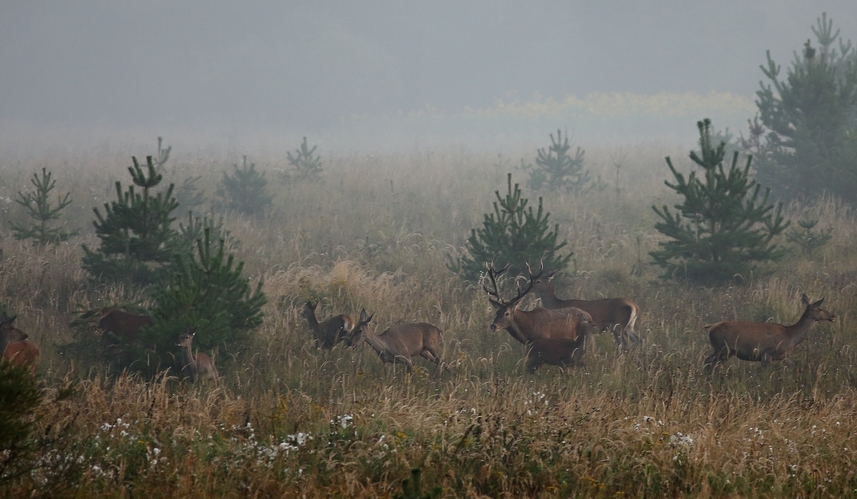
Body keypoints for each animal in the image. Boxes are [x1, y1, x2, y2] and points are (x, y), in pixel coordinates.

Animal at [704, 294, 836, 374]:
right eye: (820, 309)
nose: (833, 316)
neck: (790, 337)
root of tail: (711, 327)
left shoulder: (783, 356)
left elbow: (797, 366)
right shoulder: (766, 354)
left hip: (724, 351)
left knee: (709, 362)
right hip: (723, 349)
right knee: (709, 362)